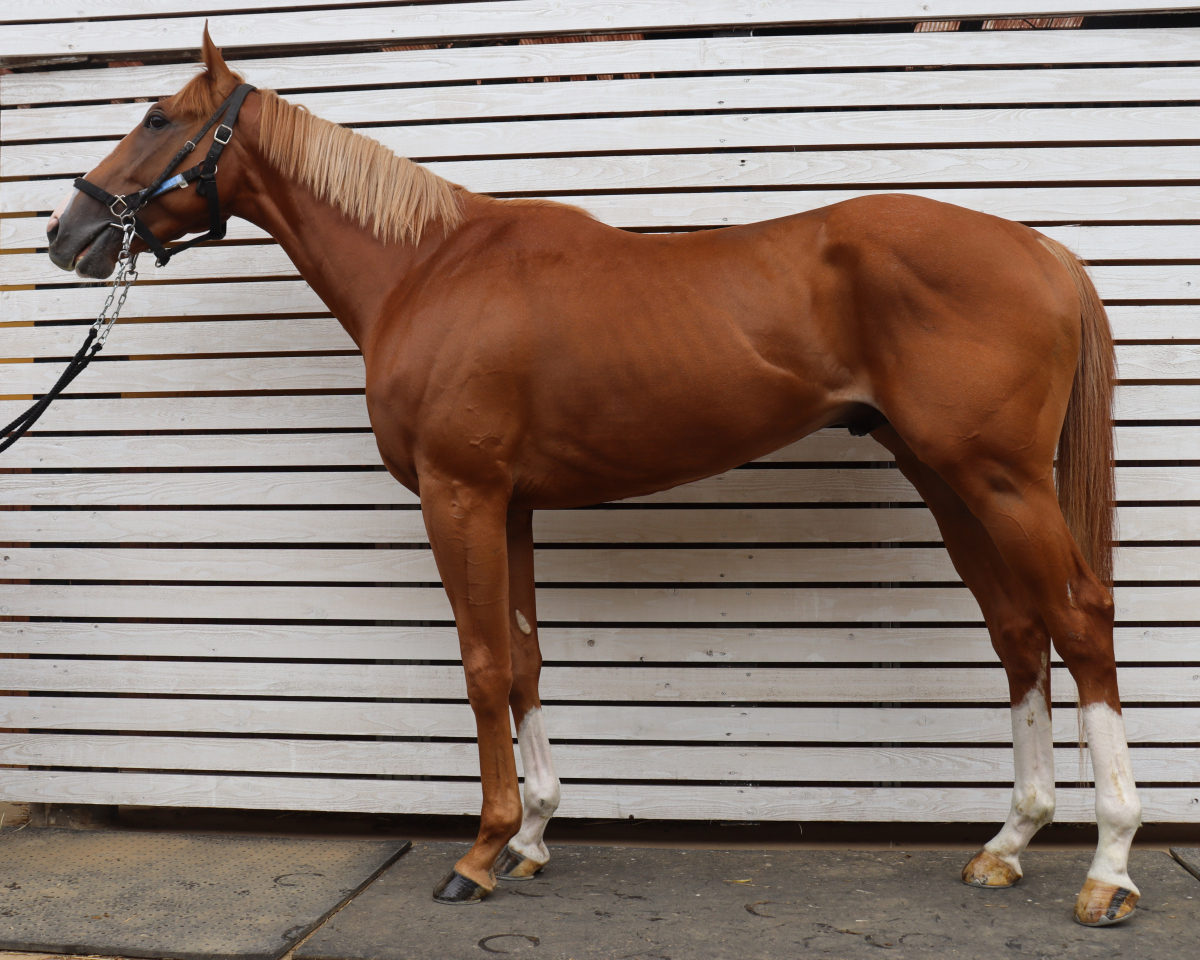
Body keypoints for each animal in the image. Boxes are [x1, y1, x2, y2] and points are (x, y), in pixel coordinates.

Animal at [46, 29, 1141, 925]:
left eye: (158, 118)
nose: (67, 234)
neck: (427, 269)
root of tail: (1041, 249)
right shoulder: (511, 505)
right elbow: (526, 662)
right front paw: (532, 837)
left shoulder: (459, 495)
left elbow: (483, 665)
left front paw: (480, 853)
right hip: (947, 477)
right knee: (1019, 631)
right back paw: (1007, 843)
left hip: (999, 478)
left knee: (1080, 618)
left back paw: (1110, 869)